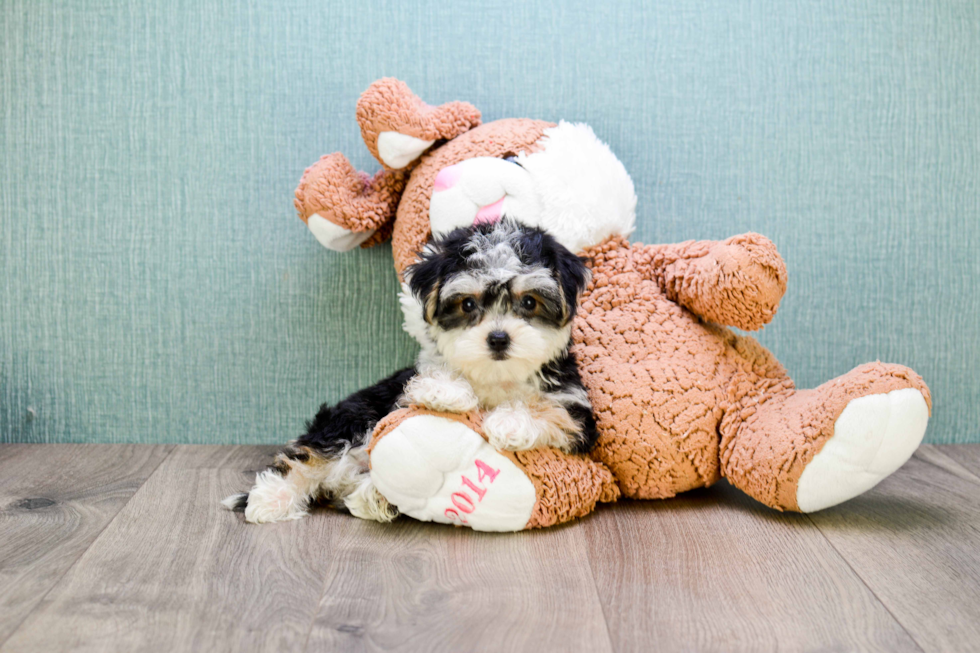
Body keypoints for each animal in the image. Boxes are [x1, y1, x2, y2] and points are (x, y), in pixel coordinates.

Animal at [224, 219, 596, 524]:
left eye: (529, 302)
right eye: (468, 304)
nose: (498, 338)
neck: (496, 377)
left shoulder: (577, 415)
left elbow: (552, 412)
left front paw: (510, 422)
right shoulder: (403, 386)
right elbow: (432, 373)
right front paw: (445, 392)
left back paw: (375, 498)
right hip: (354, 417)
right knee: (312, 456)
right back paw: (272, 499)